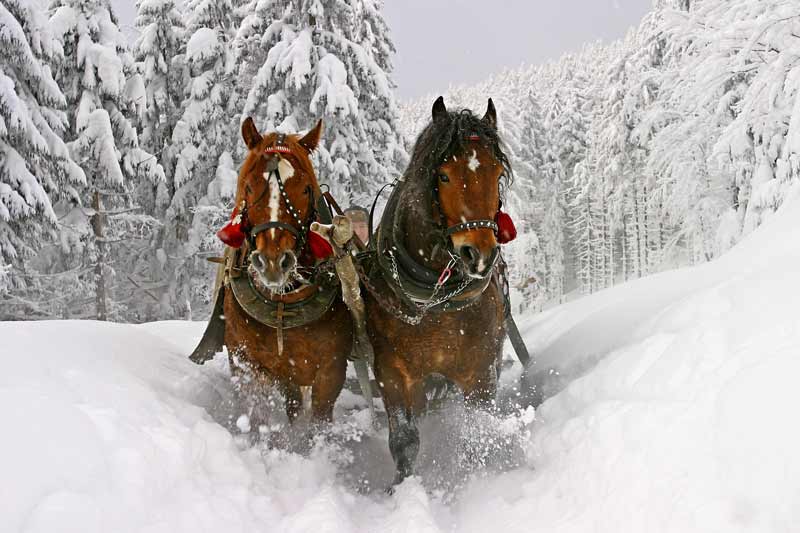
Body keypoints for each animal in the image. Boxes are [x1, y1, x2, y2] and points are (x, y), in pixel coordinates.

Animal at [191, 117, 354, 432]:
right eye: (249, 186)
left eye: (306, 189)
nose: (273, 262)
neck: (283, 304)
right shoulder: (249, 363)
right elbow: (260, 418)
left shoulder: (331, 370)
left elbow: (318, 423)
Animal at [364, 95, 512, 482]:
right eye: (443, 175)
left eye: (497, 173)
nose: (480, 254)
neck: (434, 301)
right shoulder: (392, 373)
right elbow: (404, 441)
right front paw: (402, 488)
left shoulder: (481, 370)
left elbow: (477, 431)